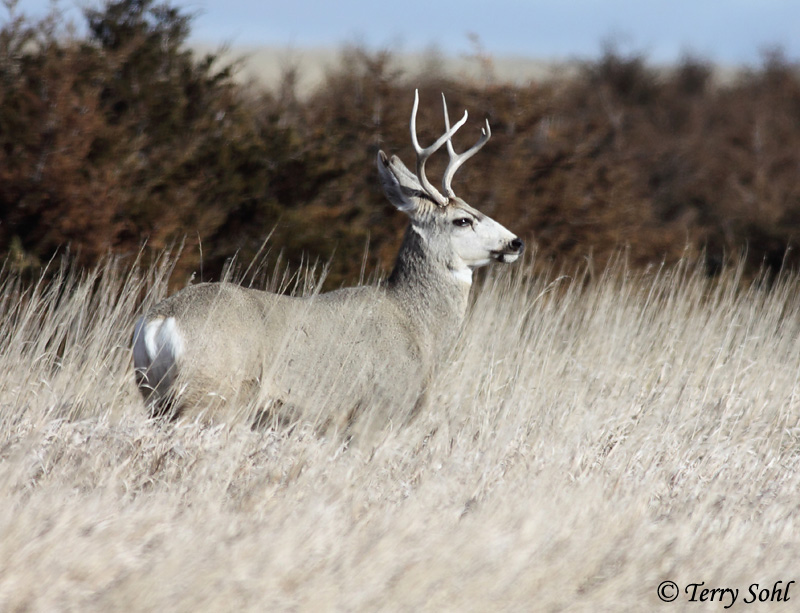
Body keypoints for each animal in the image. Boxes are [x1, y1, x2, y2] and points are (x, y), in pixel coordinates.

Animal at [133, 89, 524, 436]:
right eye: (463, 220)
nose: (516, 242)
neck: (416, 324)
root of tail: (159, 321)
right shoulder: (375, 411)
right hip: (210, 395)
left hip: (156, 397)